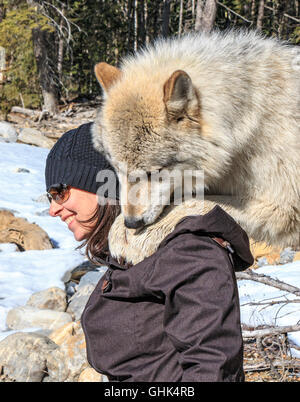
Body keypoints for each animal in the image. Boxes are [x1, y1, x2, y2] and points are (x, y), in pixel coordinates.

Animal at [92, 28, 300, 260]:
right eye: (117, 168)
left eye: (155, 172)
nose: (132, 222)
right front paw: (120, 228)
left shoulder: (284, 208)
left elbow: (193, 203)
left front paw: (137, 239)